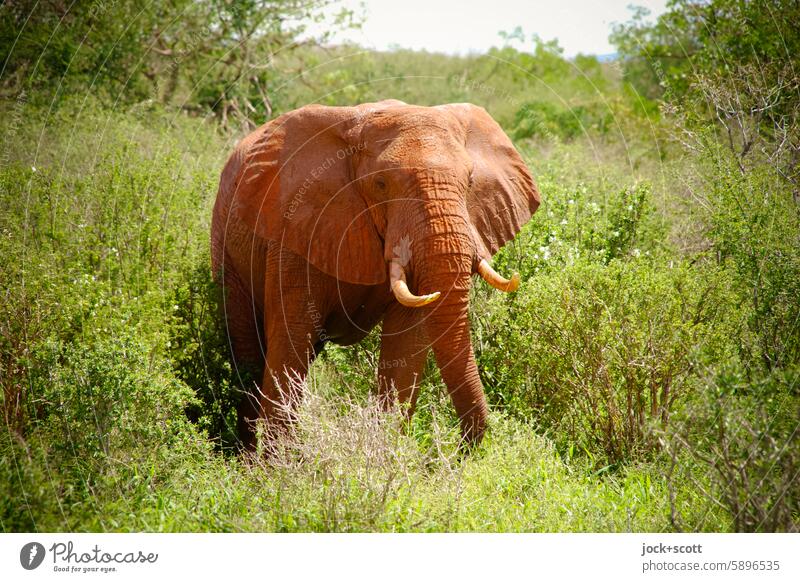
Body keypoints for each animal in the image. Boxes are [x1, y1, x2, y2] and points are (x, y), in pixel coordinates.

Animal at [209, 100, 540, 452]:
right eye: (381, 184)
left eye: (470, 180)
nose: (461, 452)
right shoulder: (296, 227)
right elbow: (290, 336)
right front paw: (278, 464)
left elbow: (406, 342)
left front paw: (389, 454)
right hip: (226, 248)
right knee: (248, 352)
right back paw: (245, 454)